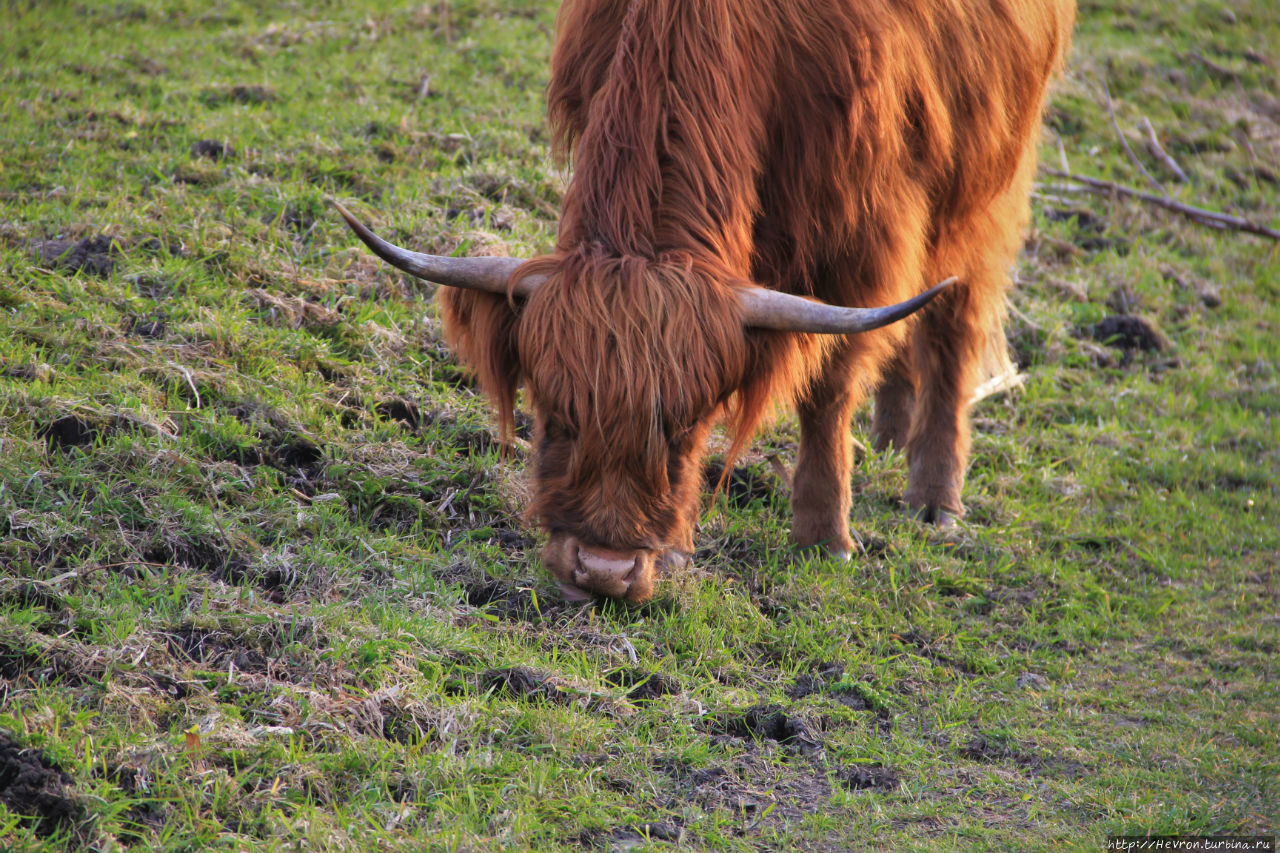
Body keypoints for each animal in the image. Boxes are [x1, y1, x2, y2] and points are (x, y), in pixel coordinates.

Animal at [335, 0, 1075, 596]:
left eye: (685, 429)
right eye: (556, 417)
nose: (603, 571)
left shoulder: (866, 227)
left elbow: (828, 380)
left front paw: (825, 533)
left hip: (985, 177)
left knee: (954, 318)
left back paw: (934, 496)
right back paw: (892, 431)